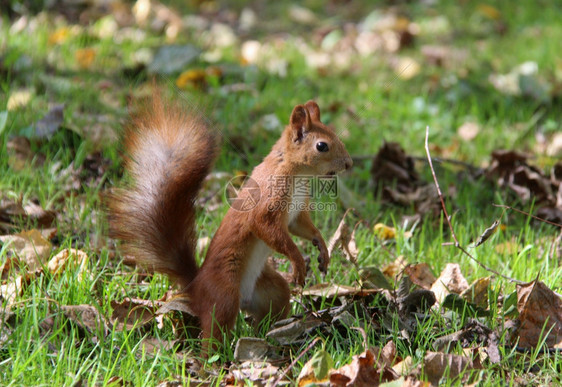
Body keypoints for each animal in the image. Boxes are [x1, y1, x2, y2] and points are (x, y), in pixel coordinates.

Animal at [109, 94, 350, 352]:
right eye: (322, 146)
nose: (348, 164)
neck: (297, 173)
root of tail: (196, 288)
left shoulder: (295, 214)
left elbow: (304, 228)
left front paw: (323, 249)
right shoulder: (265, 204)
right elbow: (267, 228)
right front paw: (297, 262)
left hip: (271, 290)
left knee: (270, 308)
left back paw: (270, 336)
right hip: (224, 293)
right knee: (215, 330)